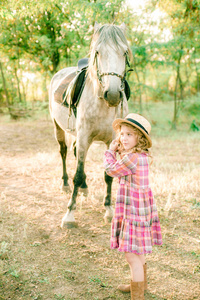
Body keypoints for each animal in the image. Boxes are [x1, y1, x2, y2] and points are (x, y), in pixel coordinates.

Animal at [48, 21, 131, 227]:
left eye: (124, 52)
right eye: (98, 52)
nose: (113, 94)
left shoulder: (111, 140)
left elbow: (108, 175)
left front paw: (108, 210)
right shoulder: (84, 136)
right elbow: (77, 174)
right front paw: (69, 214)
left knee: (75, 152)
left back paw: (85, 188)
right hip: (58, 127)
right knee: (64, 152)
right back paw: (65, 184)